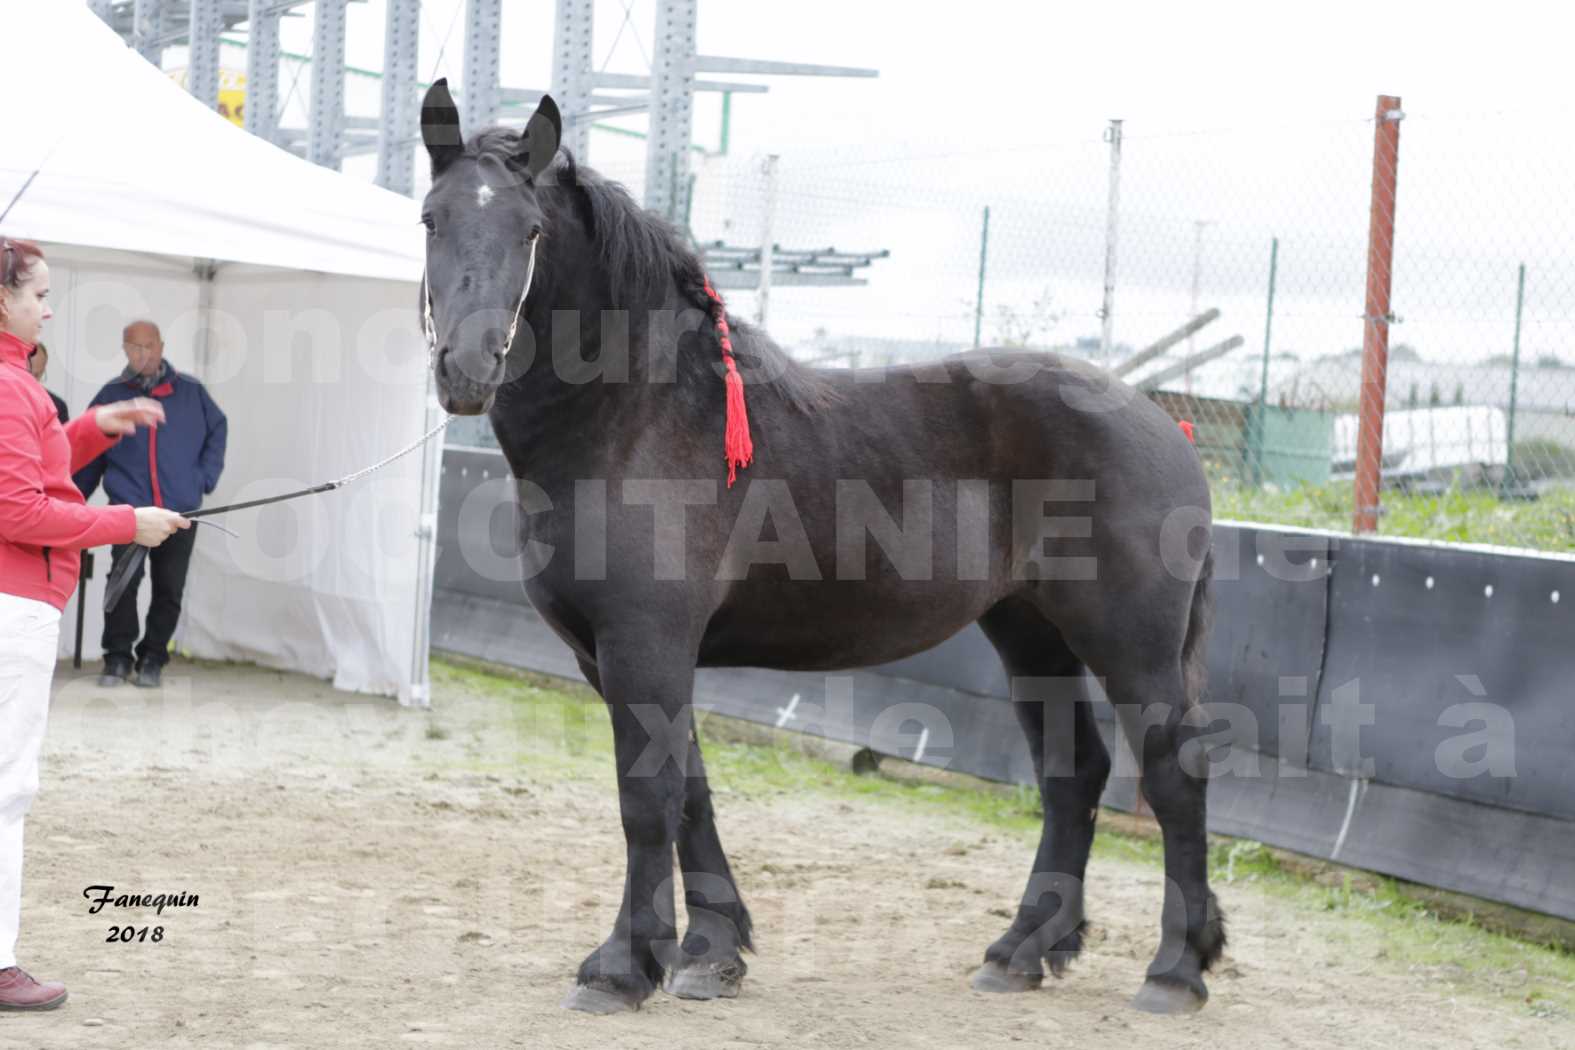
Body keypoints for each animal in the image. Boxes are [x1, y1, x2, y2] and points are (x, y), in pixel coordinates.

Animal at [422, 84, 1228, 1020]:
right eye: (432, 218)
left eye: (530, 231)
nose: (468, 368)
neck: (637, 413)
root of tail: (1158, 423)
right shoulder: (620, 655)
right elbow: (690, 792)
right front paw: (711, 954)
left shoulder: (644, 645)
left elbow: (645, 799)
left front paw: (622, 968)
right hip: (1030, 632)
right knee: (1074, 774)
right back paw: (1020, 951)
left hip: (1129, 643)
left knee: (1173, 774)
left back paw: (1173, 971)